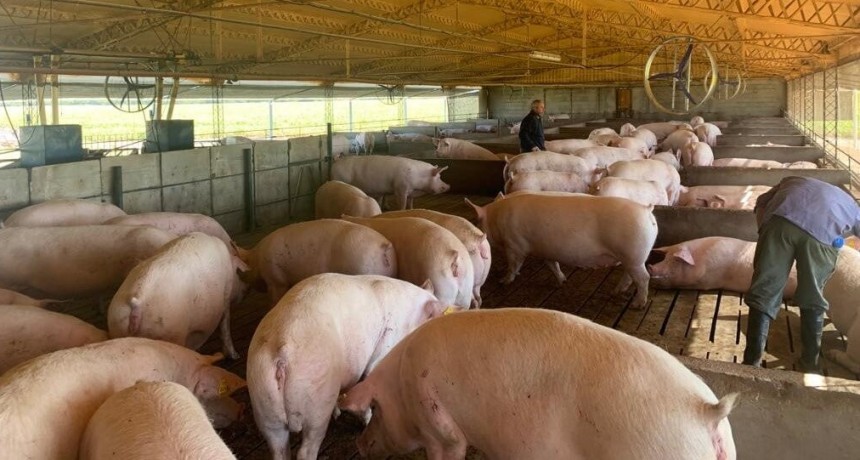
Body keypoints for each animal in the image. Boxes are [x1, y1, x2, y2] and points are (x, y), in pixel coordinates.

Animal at [107, 233, 247, 359]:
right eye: (238, 273)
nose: (244, 291)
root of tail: (138, 302)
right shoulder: (226, 293)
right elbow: (225, 325)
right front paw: (235, 356)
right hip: (169, 330)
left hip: (117, 325)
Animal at [247, 273, 445, 460]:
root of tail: (282, 352)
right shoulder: (387, 342)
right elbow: (369, 378)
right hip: (316, 403)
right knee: (306, 450)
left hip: (264, 407)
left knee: (278, 450)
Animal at [340, 308, 738, 460]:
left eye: (374, 409)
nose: (358, 444)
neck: (401, 382)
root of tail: (705, 413)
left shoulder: (439, 426)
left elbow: (450, 447)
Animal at [466, 193, 657, 308]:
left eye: (477, 222)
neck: (497, 218)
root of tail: (646, 209)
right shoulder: (546, 250)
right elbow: (552, 265)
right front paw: (562, 281)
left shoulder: (514, 245)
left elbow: (513, 265)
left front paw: (503, 281)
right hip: (630, 258)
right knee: (629, 276)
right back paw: (616, 292)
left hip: (633, 255)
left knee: (644, 278)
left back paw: (638, 305)